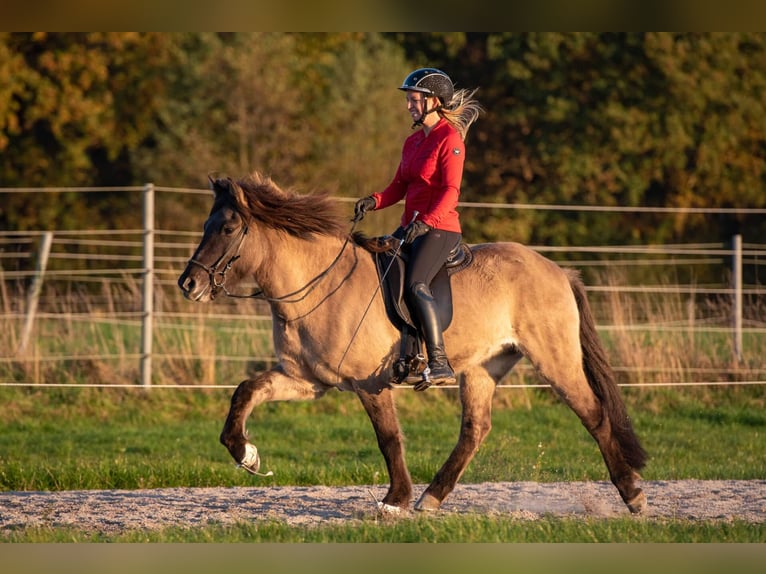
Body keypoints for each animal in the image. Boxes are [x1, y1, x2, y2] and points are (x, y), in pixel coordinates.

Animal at [177, 172, 648, 514]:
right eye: (204, 225)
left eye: (228, 227)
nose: (189, 284)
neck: (319, 282)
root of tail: (556, 270)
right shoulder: (307, 380)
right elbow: (246, 391)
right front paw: (246, 454)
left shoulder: (369, 383)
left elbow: (388, 438)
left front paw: (394, 500)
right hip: (483, 367)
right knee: (475, 430)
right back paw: (431, 498)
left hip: (555, 359)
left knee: (594, 415)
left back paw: (633, 495)